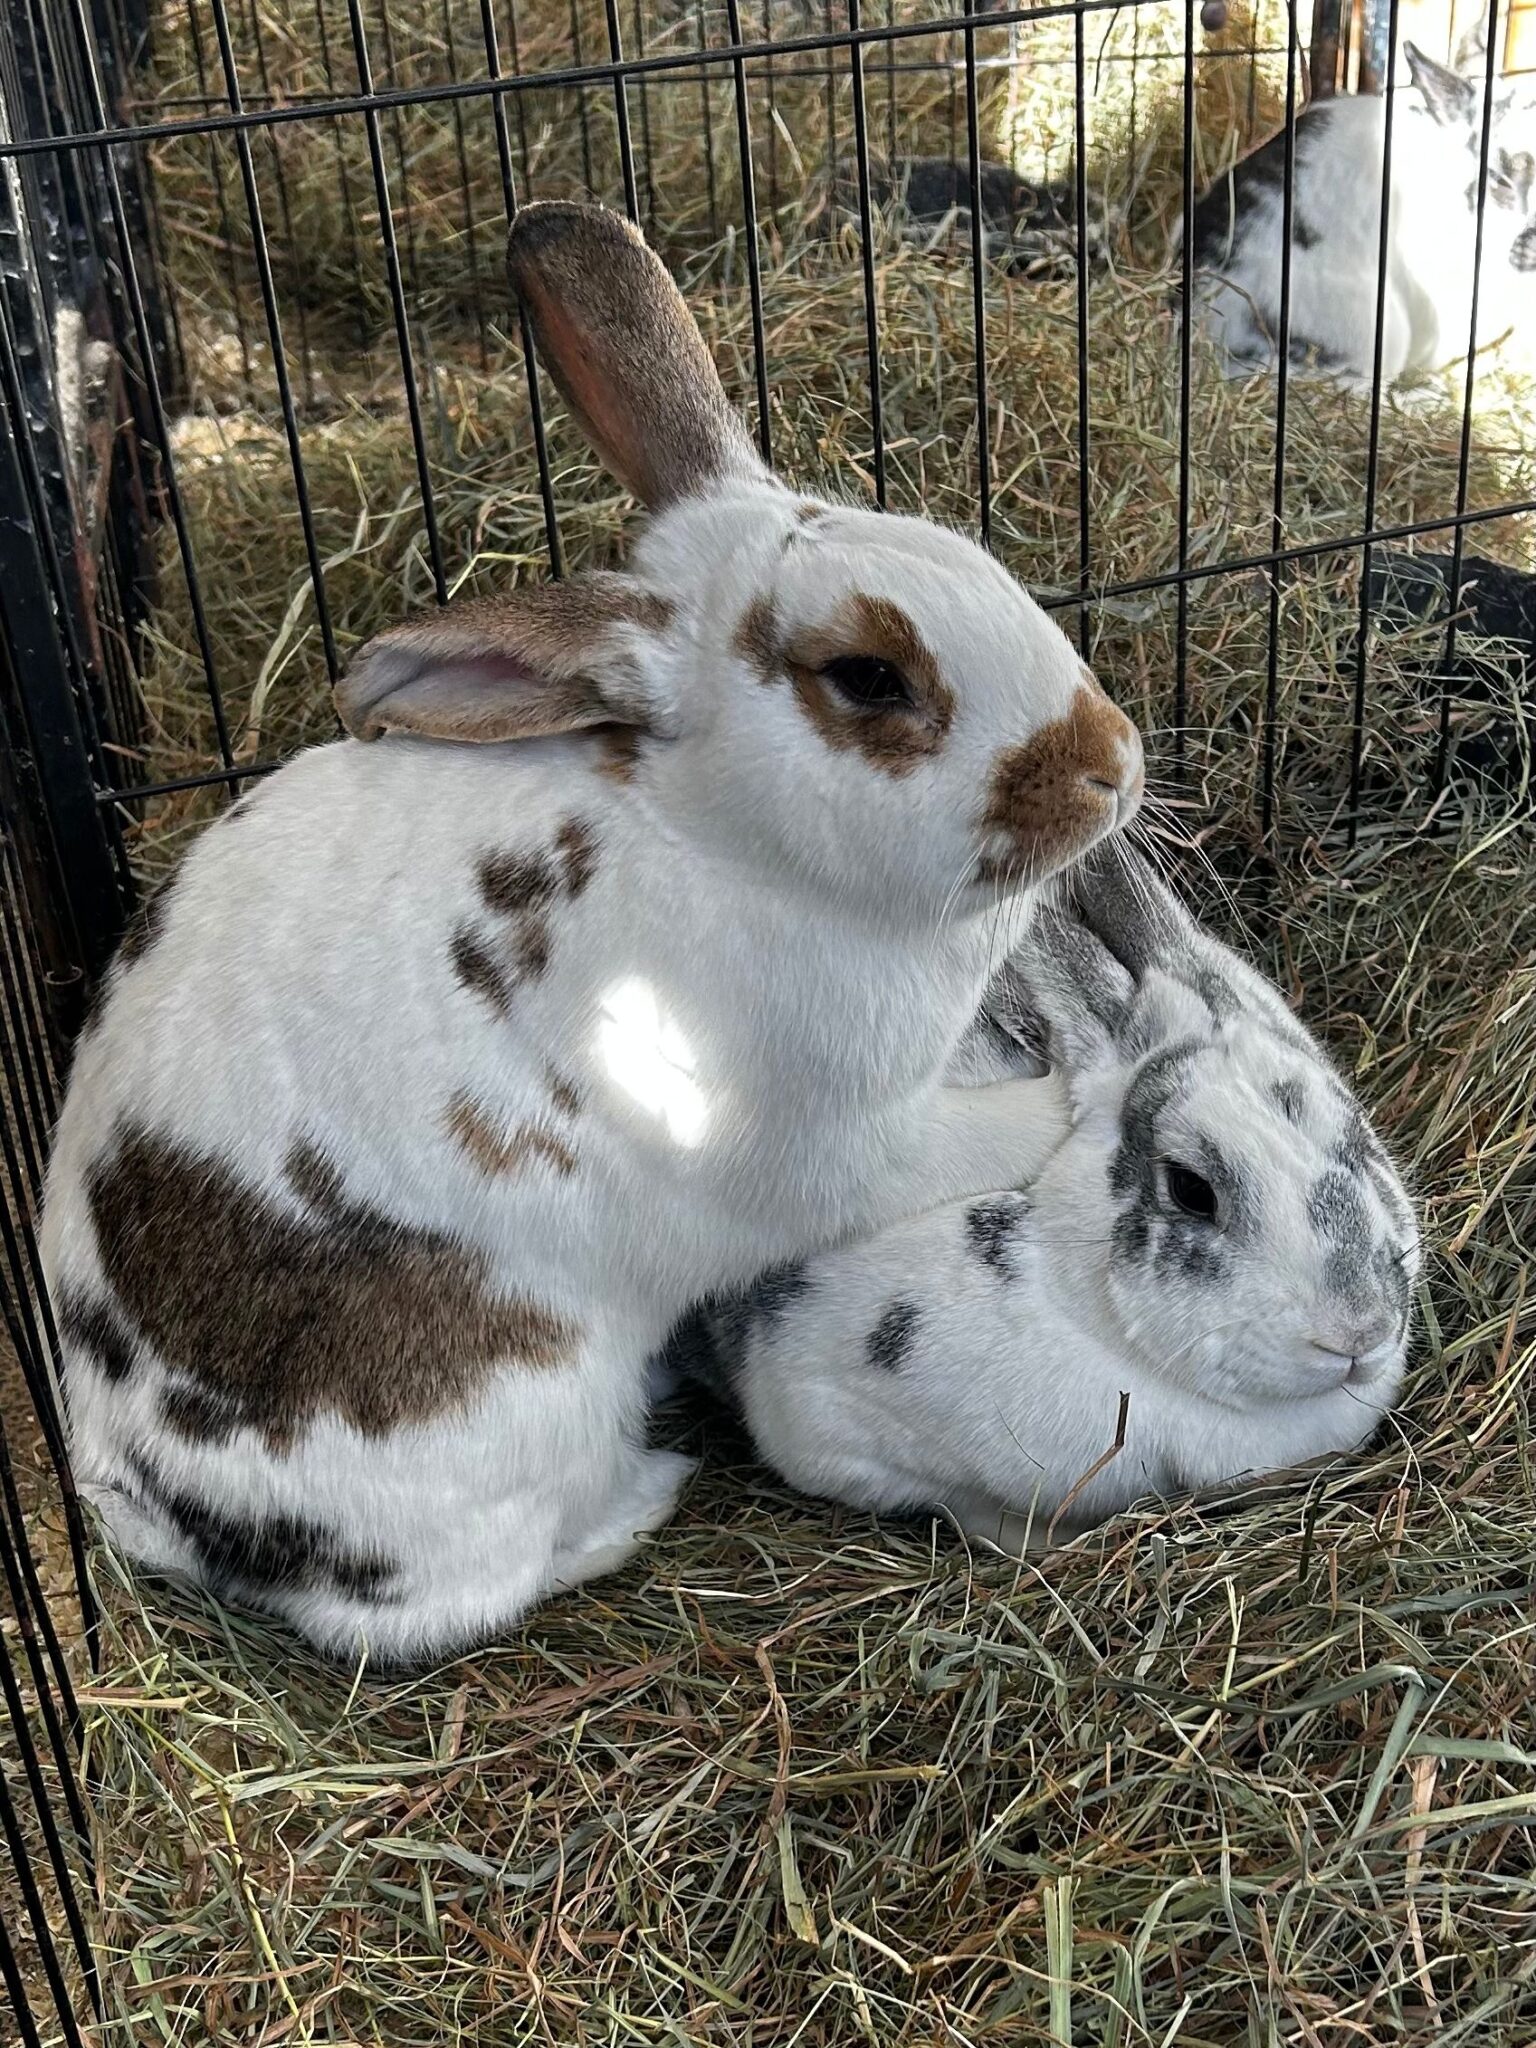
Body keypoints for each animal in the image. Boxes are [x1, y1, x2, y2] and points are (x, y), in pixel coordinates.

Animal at [39, 201, 1145, 1664]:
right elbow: (984, 1136)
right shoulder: (843, 1145)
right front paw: (1085, 1092)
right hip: (532, 1396)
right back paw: (641, 1495)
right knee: (449, 1596)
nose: (1113, 765)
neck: (720, 839)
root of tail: (145, 1491)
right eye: (867, 678)